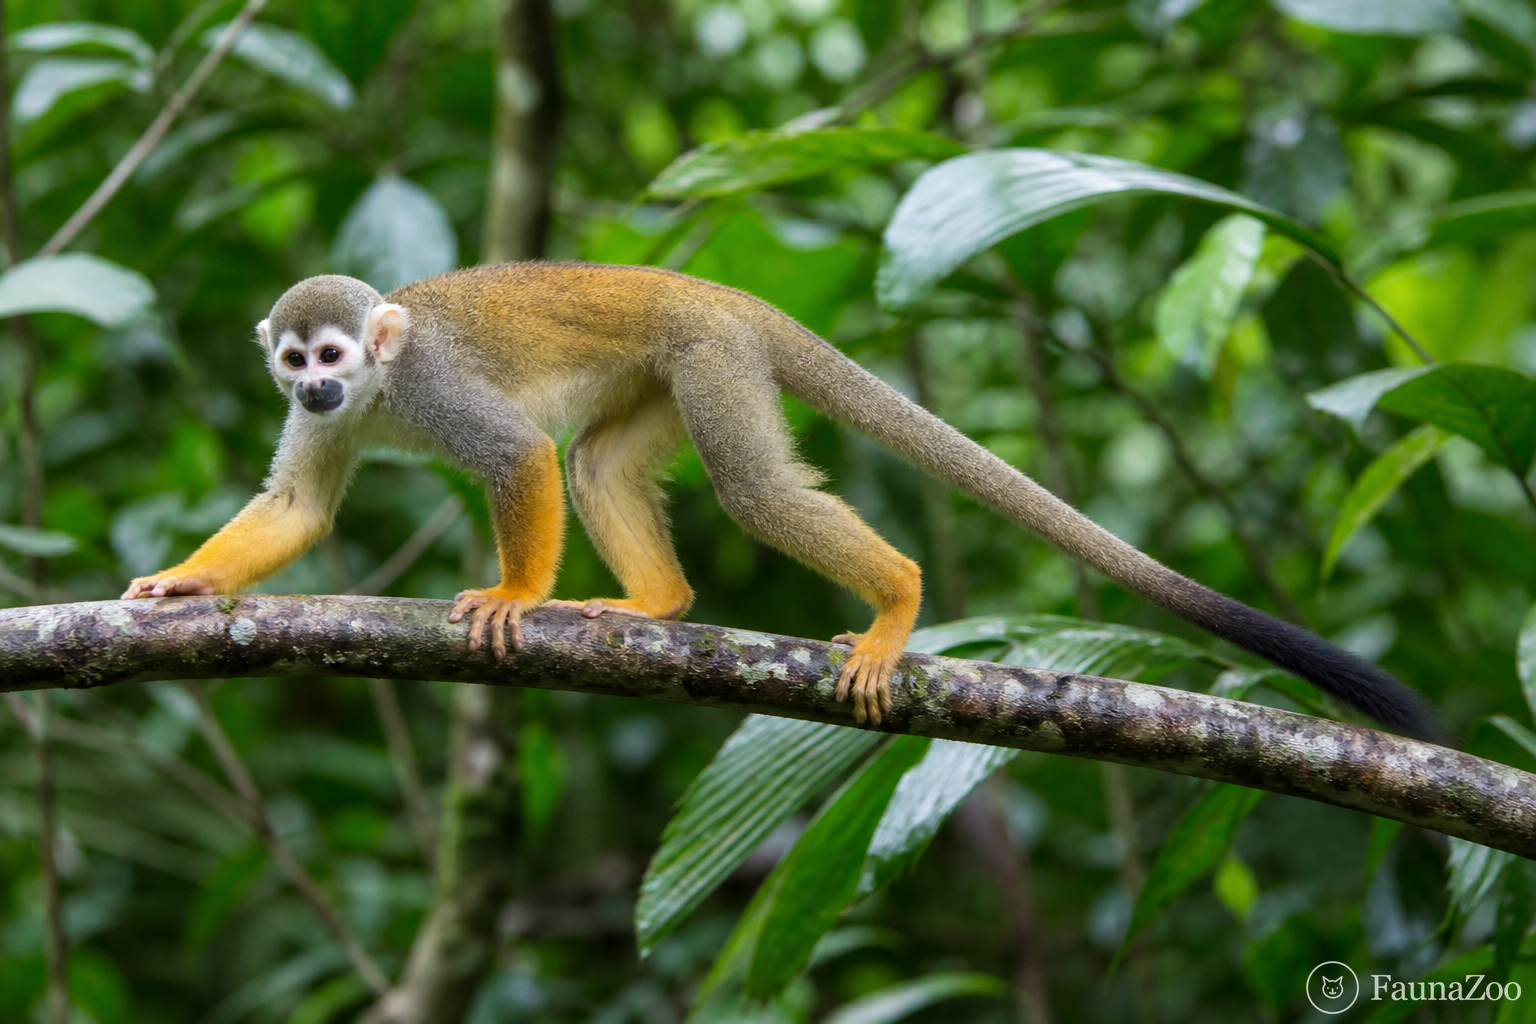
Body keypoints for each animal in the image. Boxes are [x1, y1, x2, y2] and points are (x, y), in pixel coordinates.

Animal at [121, 263, 1437, 737]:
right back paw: (659, 606)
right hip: (677, 367)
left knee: (742, 485)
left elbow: (518, 460)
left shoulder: (437, 388)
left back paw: (897, 599)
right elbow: (300, 507)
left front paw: (514, 593)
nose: (319, 383)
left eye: (338, 352)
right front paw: (186, 582)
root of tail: (718, 290)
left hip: (710, 358)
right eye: (300, 364)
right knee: (605, 464)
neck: (385, 388)